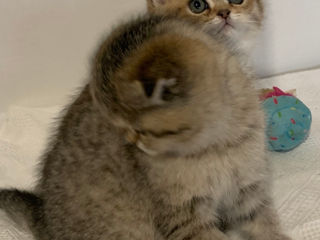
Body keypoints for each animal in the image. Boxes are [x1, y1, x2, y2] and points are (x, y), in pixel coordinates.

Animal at [0, 13, 290, 240]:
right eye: (119, 127)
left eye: (141, 130)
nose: (132, 142)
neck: (217, 145)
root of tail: (43, 216)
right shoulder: (184, 216)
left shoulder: (248, 191)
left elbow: (266, 225)